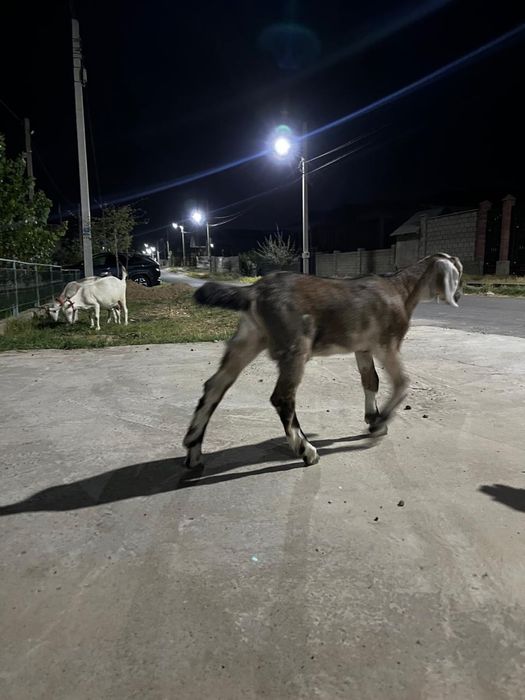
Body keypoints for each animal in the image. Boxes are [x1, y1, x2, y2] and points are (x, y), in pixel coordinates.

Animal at [183, 253, 463, 469]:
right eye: (458, 274)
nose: (459, 295)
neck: (401, 289)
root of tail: (254, 290)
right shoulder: (387, 344)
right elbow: (402, 382)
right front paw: (379, 423)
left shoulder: (363, 348)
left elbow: (370, 380)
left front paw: (372, 418)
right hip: (296, 347)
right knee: (282, 398)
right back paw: (307, 451)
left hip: (250, 338)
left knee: (215, 386)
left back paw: (193, 450)